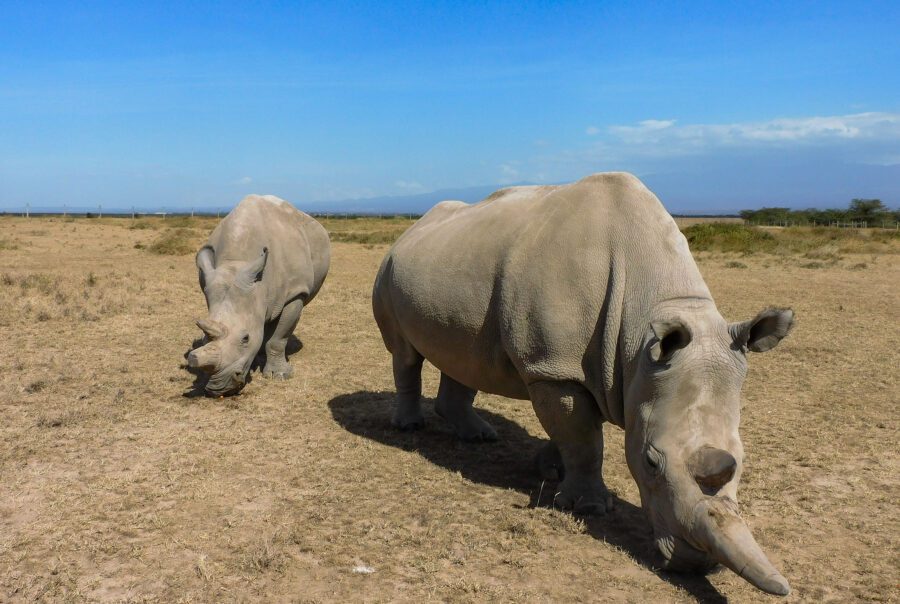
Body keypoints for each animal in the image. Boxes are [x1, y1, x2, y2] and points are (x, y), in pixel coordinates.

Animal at [188, 195, 330, 396]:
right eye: (203, 338)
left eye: (245, 338)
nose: (218, 388)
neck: (237, 262)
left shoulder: (295, 293)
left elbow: (279, 337)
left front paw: (279, 376)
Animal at [372, 173, 795, 596]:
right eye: (650, 461)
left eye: (742, 460)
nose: (696, 565)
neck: (645, 321)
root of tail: (411, 230)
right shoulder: (555, 368)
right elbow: (583, 438)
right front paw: (588, 506)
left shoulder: (598, 369)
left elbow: (571, 431)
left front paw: (549, 469)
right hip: (389, 270)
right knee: (405, 354)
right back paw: (409, 427)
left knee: (464, 357)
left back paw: (478, 436)